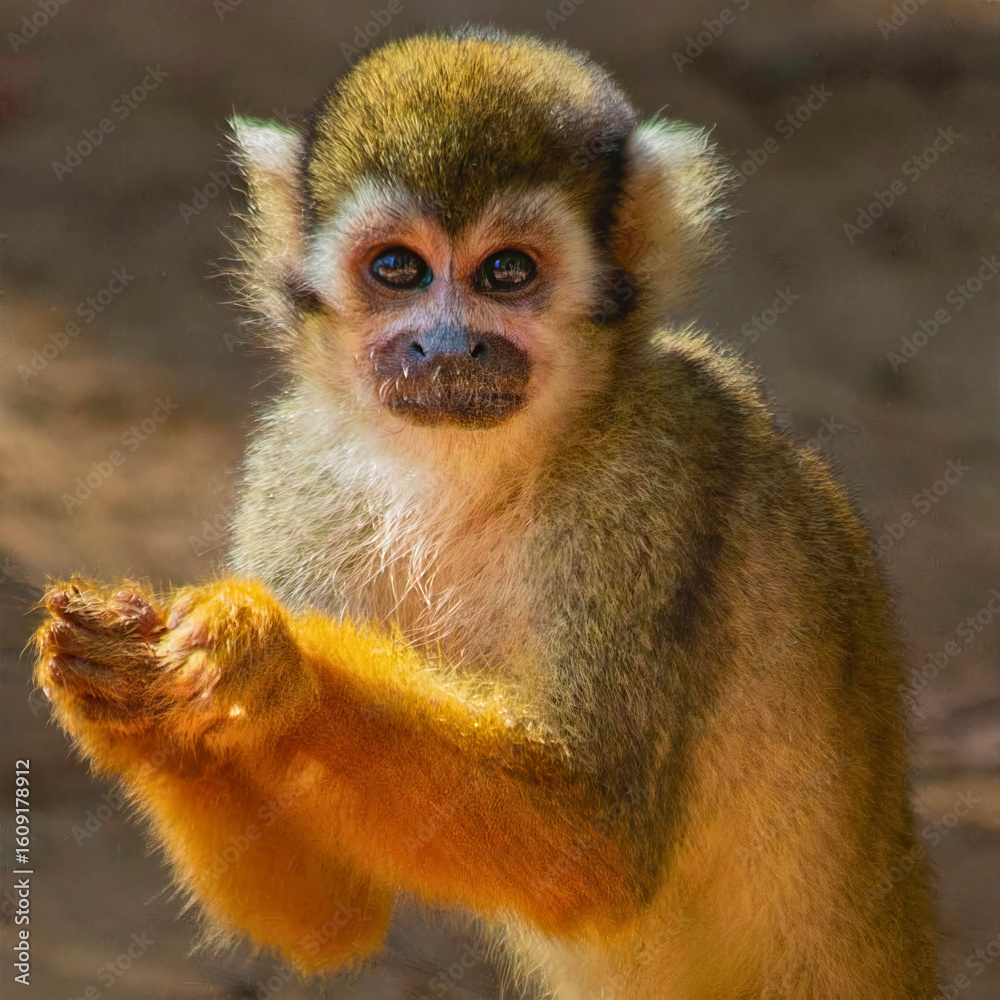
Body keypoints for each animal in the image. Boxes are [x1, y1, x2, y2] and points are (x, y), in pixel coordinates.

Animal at [34, 27, 940, 1000]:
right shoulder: (296, 470)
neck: (473, 471)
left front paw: (274, 666)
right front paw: (124, 702)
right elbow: (332, 914)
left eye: (507, 273)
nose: (446, 346)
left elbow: (597, 838)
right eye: (398, 269)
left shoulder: (659, 467)